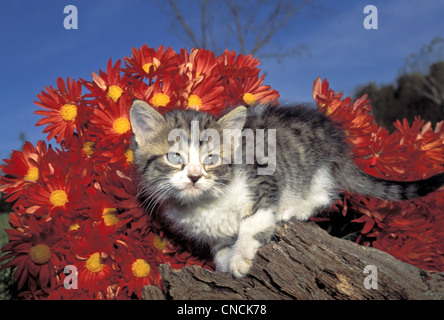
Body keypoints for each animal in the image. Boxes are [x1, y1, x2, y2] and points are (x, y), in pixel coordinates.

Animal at [128, 100, 444, 278]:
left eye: (211, 159)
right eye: (175, 157)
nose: (194, 177)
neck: (207, 202)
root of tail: (340, 148)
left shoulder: (265, 180)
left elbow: (252, 222)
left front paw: (241, 258)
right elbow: (220, 244)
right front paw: (225, 259)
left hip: (314, 167)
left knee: (325, 192)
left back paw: (297, 208)